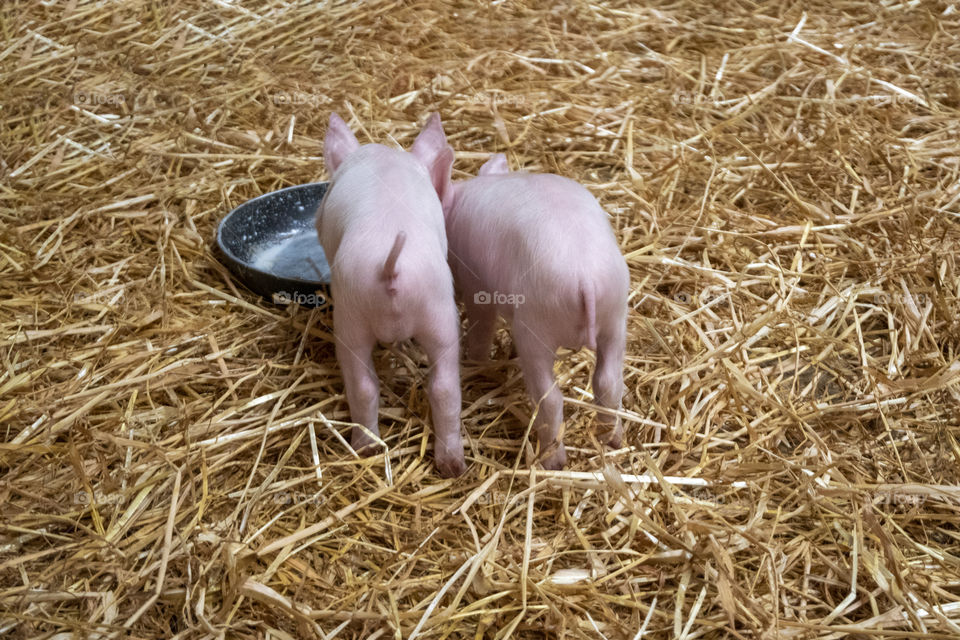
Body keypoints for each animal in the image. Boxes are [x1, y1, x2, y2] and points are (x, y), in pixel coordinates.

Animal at [315, 112, 466, 477]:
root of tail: (391, 269)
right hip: (437, 312)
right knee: (442, 388)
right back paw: (448, 465)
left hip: (353, 317)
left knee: (364, 384)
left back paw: (366, 448)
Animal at [413, 119, 629, 470]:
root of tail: (585, 278)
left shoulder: (477, 285)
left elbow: (482, 325)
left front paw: (476, 360)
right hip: (616, 317)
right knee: (609, 382)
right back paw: (612, 441)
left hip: (536, 328)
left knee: (550, 397)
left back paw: (552, 461)